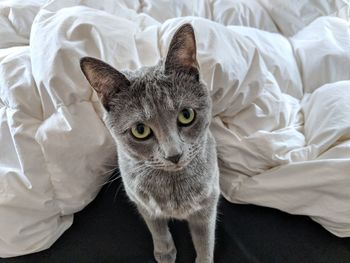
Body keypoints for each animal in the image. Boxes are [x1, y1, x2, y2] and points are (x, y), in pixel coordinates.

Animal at [80, 23, 220, 262]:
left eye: (186, 115)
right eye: (140, 130)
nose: (174, 155)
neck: (173, 187)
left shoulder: (208, 203)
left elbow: (204, 241)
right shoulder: (141, 202)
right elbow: (157, 227)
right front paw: (165, 253)